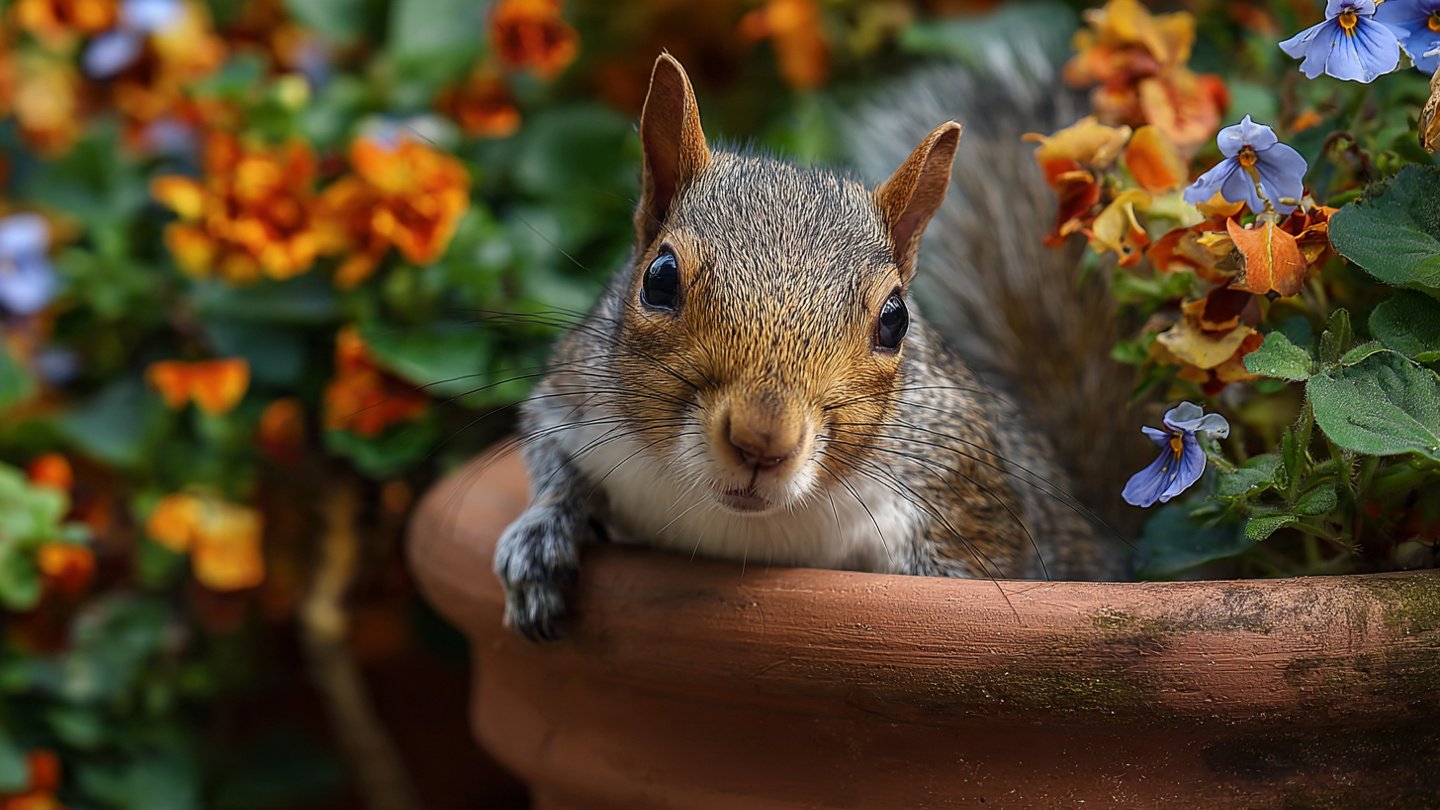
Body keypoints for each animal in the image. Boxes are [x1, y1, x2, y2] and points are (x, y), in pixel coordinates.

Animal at [493, 49, 1135, 640]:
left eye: (896, 320)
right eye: (659, 279)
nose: (762, 440)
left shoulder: (961, 494)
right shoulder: (574, 393)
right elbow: (547, 453)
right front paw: (538, 540)